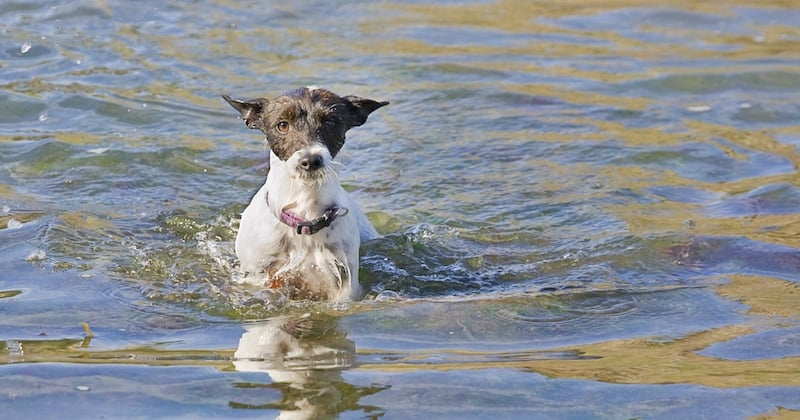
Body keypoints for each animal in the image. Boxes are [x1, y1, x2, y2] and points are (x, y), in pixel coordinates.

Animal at [223, 86, 390, 302]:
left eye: (330, 122)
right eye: (282, 125)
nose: (311, 160)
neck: (305, 214)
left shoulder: (344, 277)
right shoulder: (258, 271)